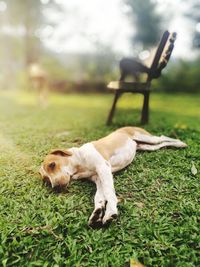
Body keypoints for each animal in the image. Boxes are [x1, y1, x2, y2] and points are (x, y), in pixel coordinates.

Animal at [39, 127, 188, 228]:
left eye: (52, 165)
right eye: (46, 180)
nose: (55, 187)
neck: (79, 162)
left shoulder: (103, 169)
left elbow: (109, 193)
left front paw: (110, 212)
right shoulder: (98, 179)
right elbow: (99, 197)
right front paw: (97, 213)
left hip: (147, 138)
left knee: (162, 137)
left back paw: (180, 143)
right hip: (147, 147)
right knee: (161, 144)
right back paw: (179, 144)